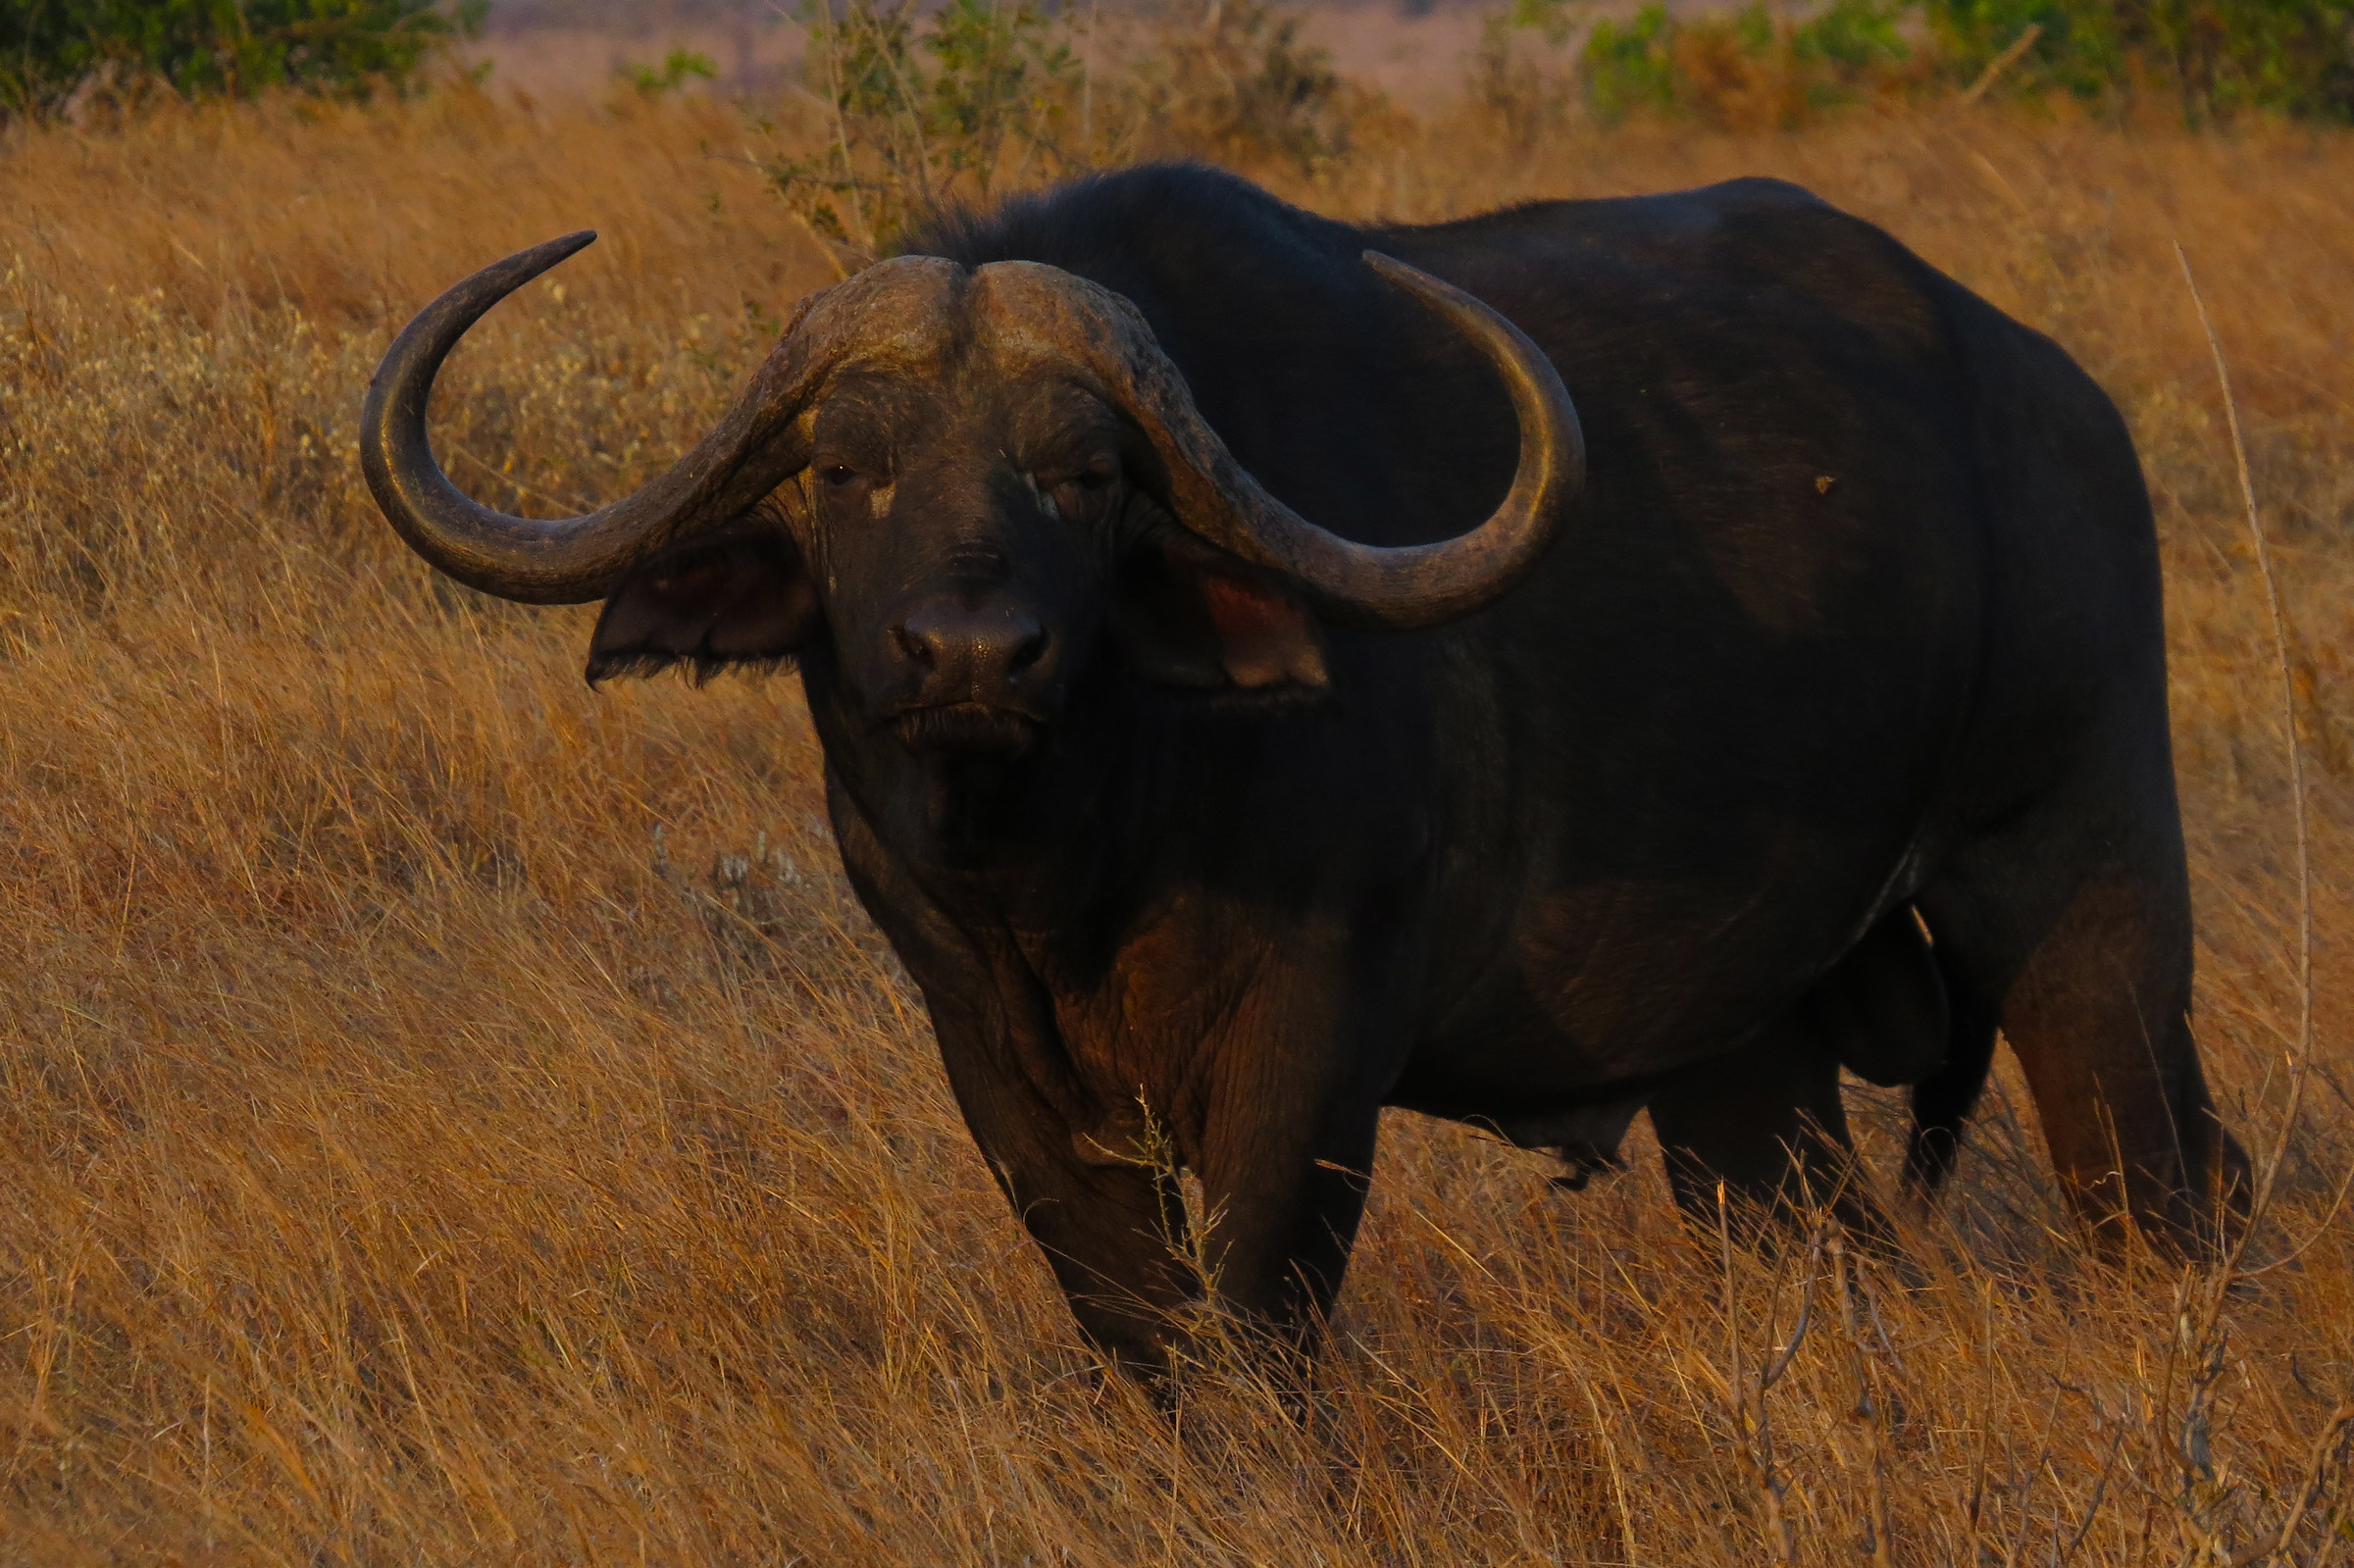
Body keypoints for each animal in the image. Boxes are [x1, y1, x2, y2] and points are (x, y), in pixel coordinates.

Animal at [362, 165, 2246, 1376]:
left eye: (1086, 474)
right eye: (845, 469)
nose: (972, 656)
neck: (1076, 859)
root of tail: (2055, 403)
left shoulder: (1314, 1032)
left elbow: (1256, 1313)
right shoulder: (989, 1055)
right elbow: (1134, 1320)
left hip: (2078, 885)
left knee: (2162, 1181)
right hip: (1742, 1049)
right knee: (1815, 1234)